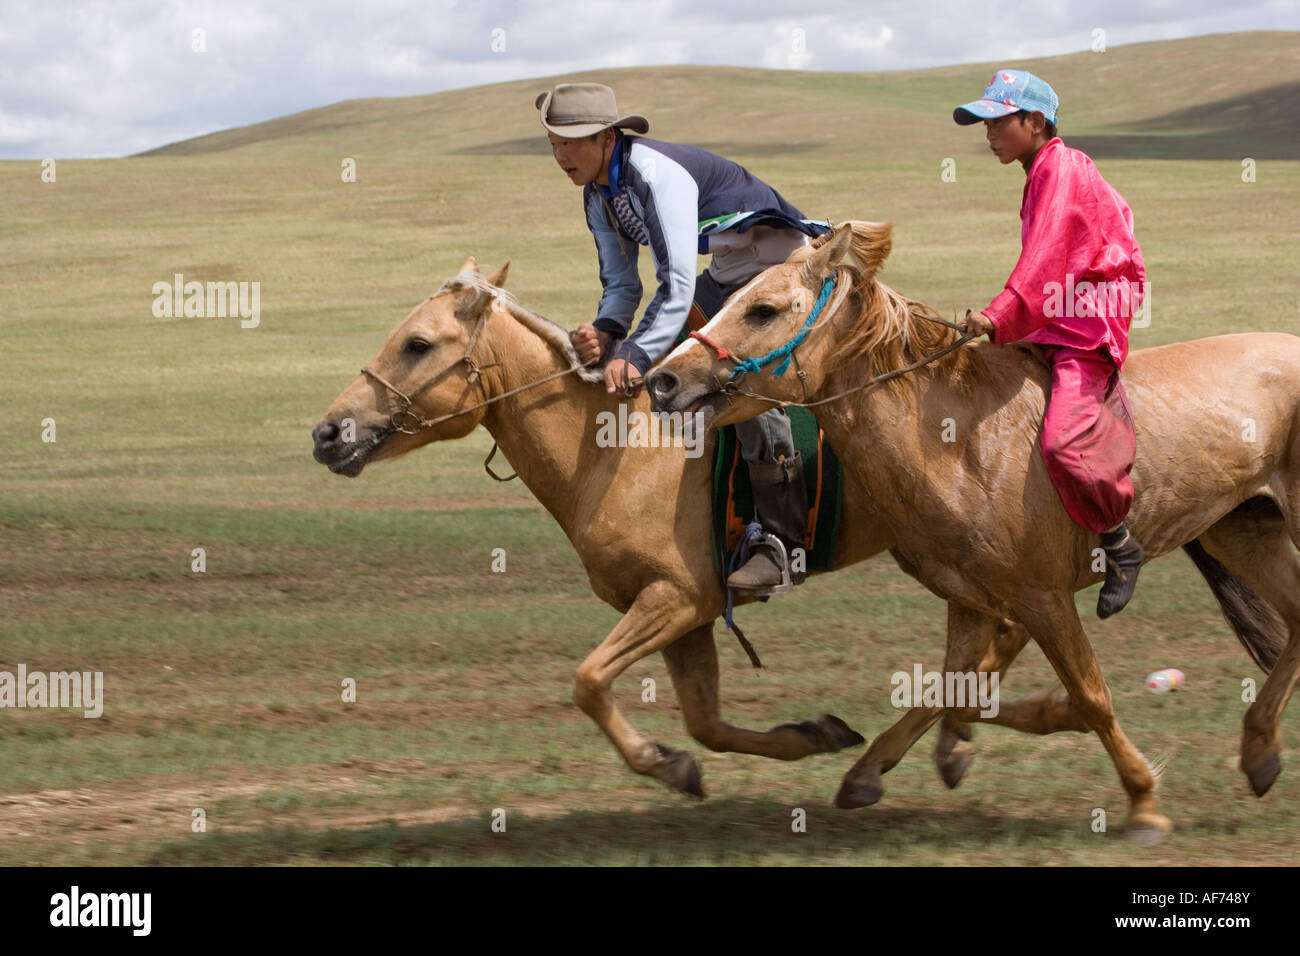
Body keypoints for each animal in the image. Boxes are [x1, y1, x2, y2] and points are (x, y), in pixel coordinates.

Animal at [650, 221, 1300, 842]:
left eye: (762, 309)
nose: (663, 380)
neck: (960, 442)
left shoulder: (1043, 599)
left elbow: (1087, 695)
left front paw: (1142, 802)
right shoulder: (970, 599)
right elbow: (962, 690)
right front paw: (872, 769)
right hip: (1244, 530)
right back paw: (1259, 752)